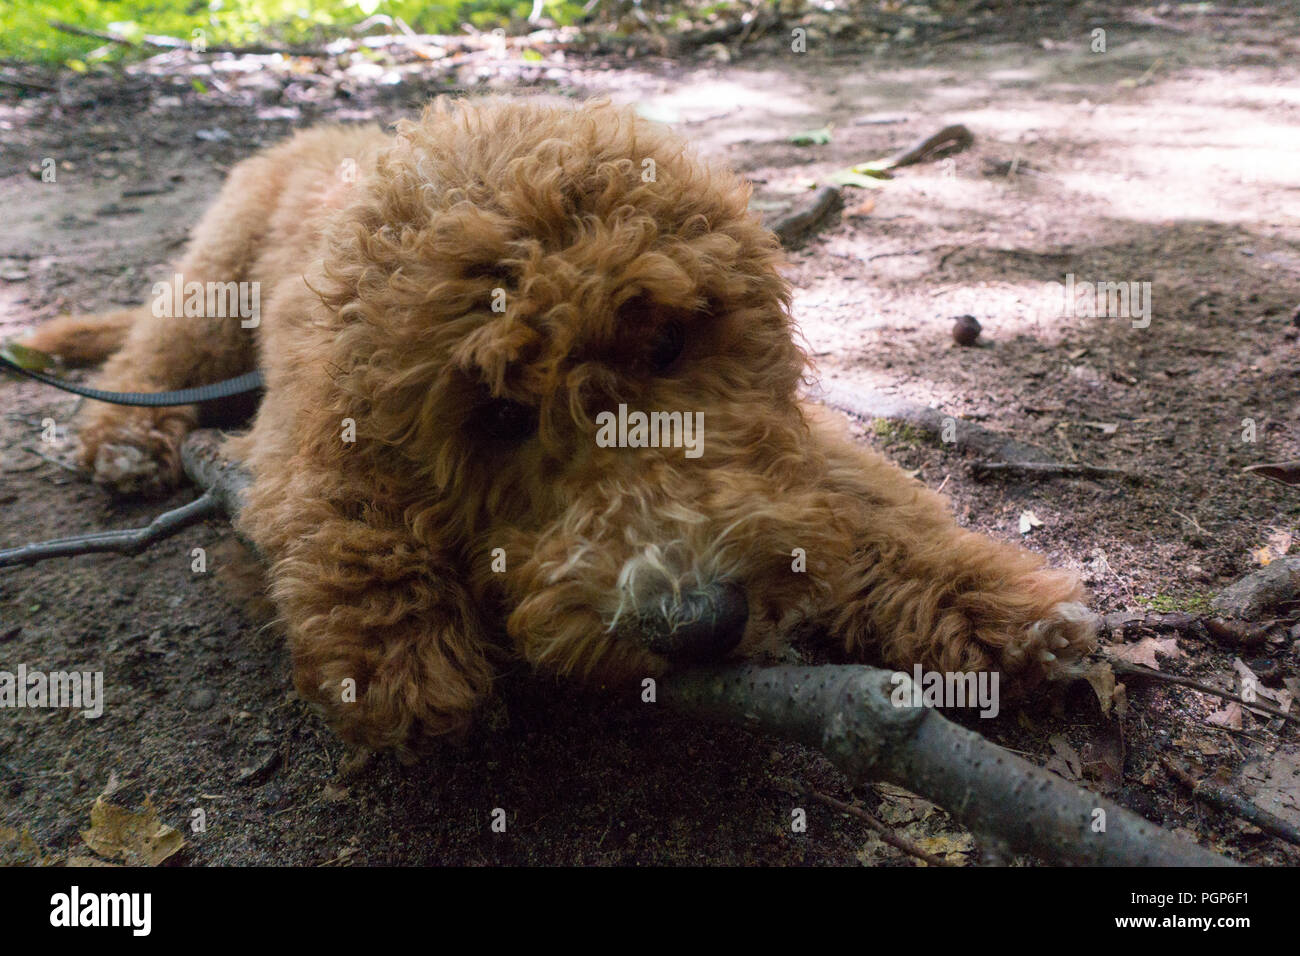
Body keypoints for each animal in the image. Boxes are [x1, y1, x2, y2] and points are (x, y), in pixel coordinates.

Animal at [25, 97, 1092, 754]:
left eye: (668, 348)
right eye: (499, 416)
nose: (699, 622)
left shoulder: (780, 444)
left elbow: (868, 496)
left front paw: (995, 605)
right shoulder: (301, 431)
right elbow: (340, 505)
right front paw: (399, 645)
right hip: (216, 283)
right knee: (150, 356)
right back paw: (125, 440)